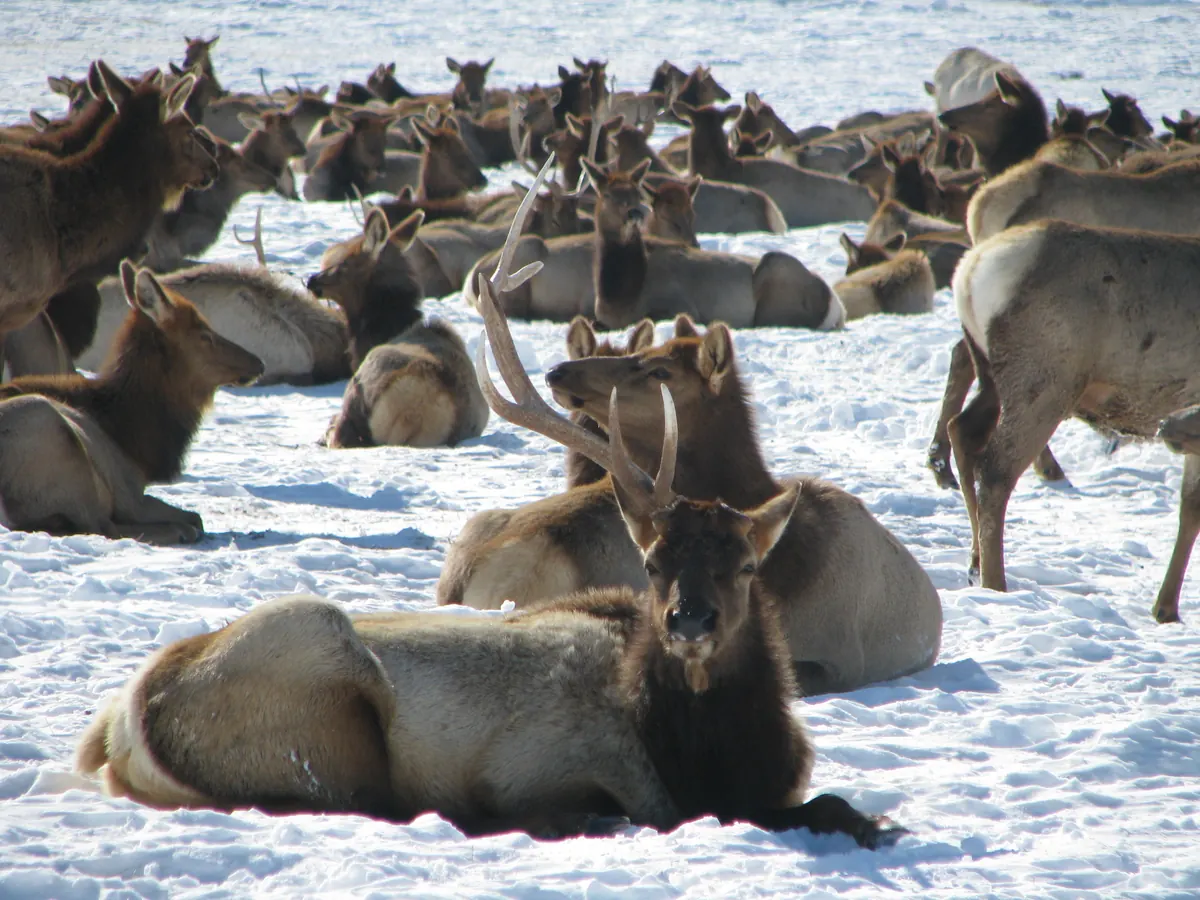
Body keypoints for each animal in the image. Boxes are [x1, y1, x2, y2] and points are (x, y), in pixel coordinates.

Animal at [0, 259, 262, 543]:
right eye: (204, 334)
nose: (257, 362)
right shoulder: (129, 492)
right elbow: (194, 518)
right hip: (55, 436)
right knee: (103, 527)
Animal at [949, 219, 1200, 625]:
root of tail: (969, 273)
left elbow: (1189, 506)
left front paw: (1166, 608)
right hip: (1045, 381)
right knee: (996, 469)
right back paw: (996, 582)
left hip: (992, 376)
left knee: (963, 431)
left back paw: (974, 564)